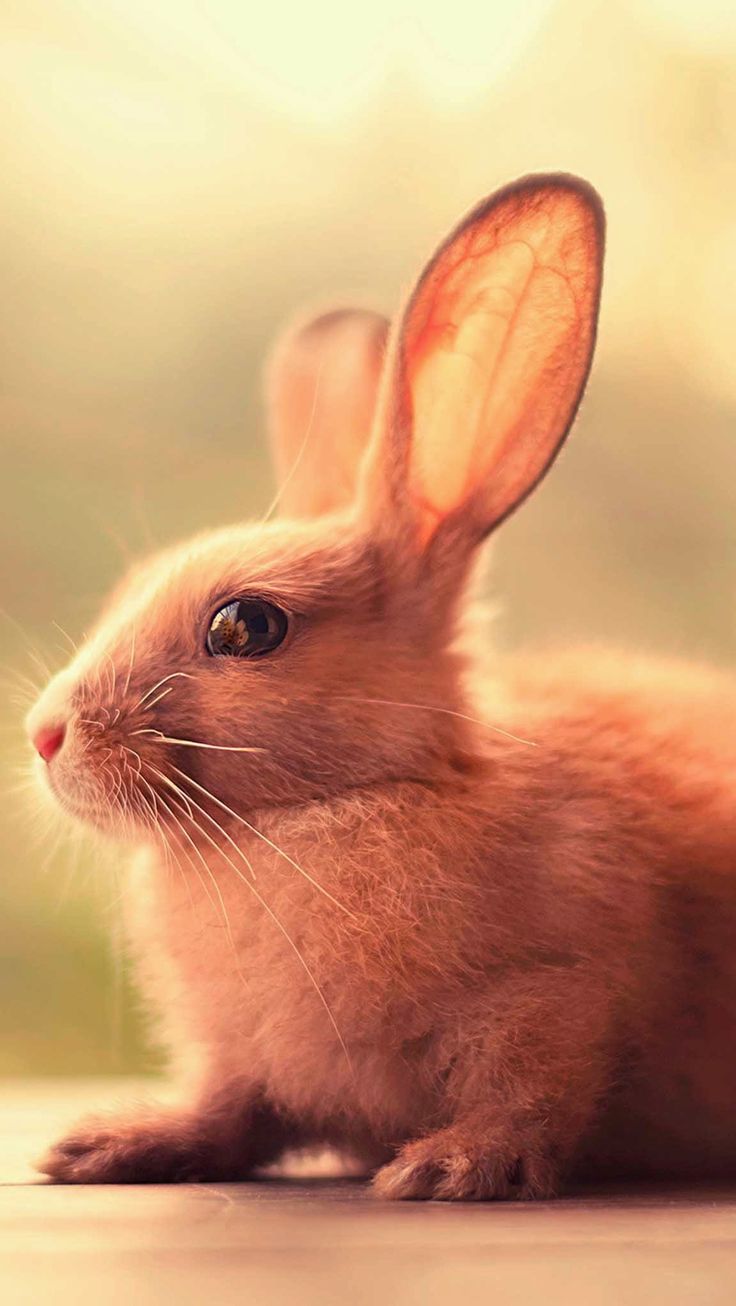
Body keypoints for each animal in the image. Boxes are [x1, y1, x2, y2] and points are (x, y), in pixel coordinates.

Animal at [25, 174, 736, 1199]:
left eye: (245, 626)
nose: (45, 736)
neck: (327, 807)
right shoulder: (242, 1063)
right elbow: (226, 1112)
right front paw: (109, 1146)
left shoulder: (555, 1001)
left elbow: (531, 1098)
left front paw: (448, 1167)